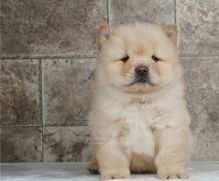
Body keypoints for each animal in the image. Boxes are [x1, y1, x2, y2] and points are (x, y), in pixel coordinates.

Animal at [88, 22, 192, 180]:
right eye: (125, 58)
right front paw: (115, 175)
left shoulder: (169, 126)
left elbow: (169, 154)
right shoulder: (109, 129)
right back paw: (94, 166)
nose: (142, 69)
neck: (139, 100)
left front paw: (173, 173)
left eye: (155, 58)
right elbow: (113, 156)